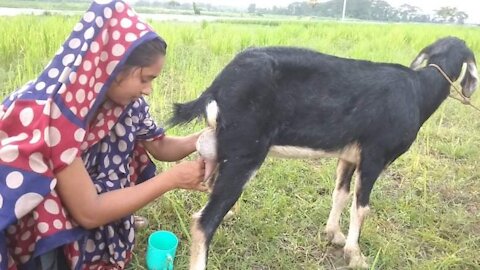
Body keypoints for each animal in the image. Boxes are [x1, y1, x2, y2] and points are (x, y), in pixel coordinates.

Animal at [168, 37, 476, 268]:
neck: (420, 91)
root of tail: (219, 85)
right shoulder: (374, 155)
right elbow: (361, 206)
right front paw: (355, 255)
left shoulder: (349, 156)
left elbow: (340, 193)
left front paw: (334, 234)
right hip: (245, 153)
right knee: (204, 221)